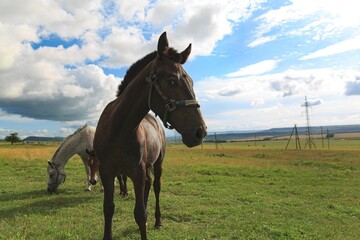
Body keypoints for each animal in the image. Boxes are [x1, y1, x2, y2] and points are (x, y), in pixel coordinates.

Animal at [93, 32, 205, 240]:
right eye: (171, 80)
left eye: (192, 82)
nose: (200, 131)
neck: (118, 130)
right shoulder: (107, 171)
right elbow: (108, 208)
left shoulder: (137, 171)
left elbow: (140, 213)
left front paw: (146, 221)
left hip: (157, 164)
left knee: (156, 187)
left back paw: (157, 221)